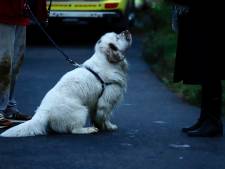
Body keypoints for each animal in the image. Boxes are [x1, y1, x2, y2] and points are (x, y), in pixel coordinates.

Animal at [0, 30, 132, 137]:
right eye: (117, 37)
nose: (127, 30)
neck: (106, 60)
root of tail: (43, 112)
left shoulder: (96, 103)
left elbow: (97, 117)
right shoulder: (107, 101)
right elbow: (105, 117)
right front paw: (109, 127)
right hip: (81, 110)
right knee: (74, 130)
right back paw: (88, 130)